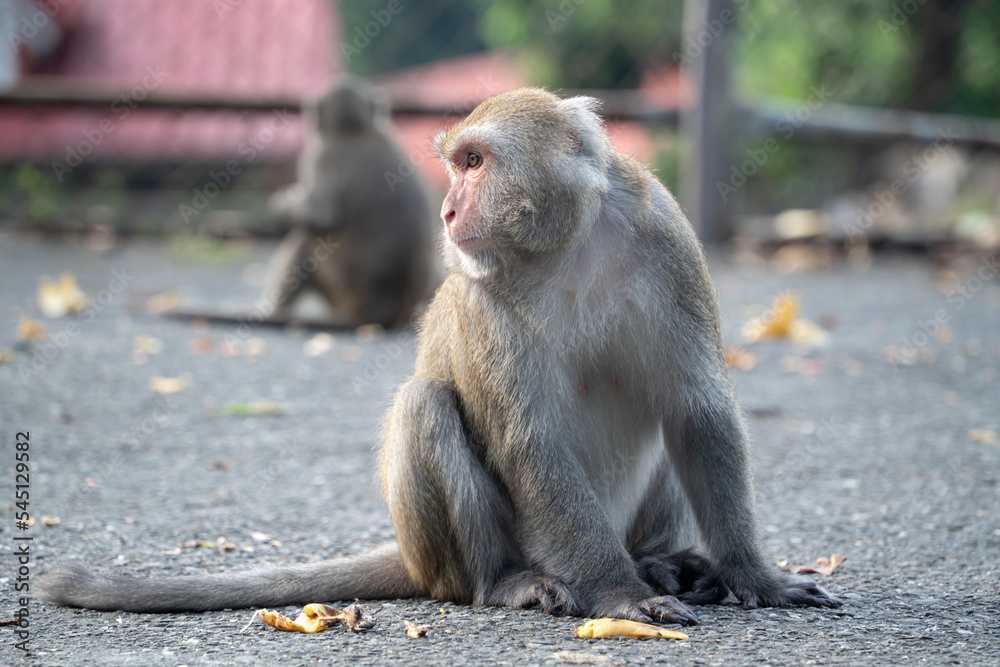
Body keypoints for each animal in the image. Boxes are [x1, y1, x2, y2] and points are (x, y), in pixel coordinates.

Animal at [260, 78, 436, 328]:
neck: (355, 131)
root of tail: (380, 310)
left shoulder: (321, 158)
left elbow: (322, 217)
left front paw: (282, 206)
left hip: (339, 285)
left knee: (305, 237)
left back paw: (273, 311)